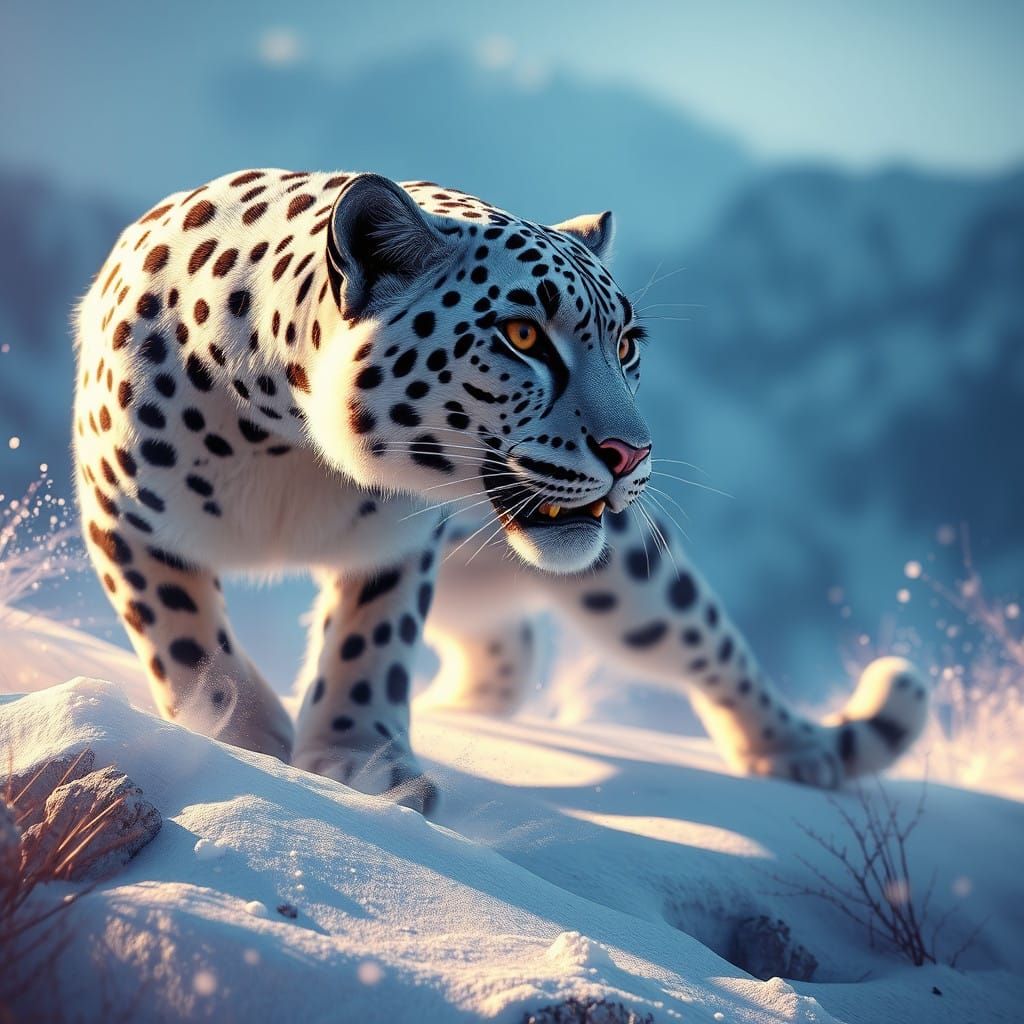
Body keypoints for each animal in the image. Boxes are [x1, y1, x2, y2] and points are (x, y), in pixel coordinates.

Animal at [73, 168, 929, 813]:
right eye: (524, 336)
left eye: (627, 344)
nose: (632, 453)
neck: (292, 454)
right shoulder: (126, 518)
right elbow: (185, 640)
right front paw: (242, 736)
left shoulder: (395, 545)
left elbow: (368, 646)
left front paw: (359, 764)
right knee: (507, 644)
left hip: (633, 580)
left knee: (706, 641)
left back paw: (796, 752)